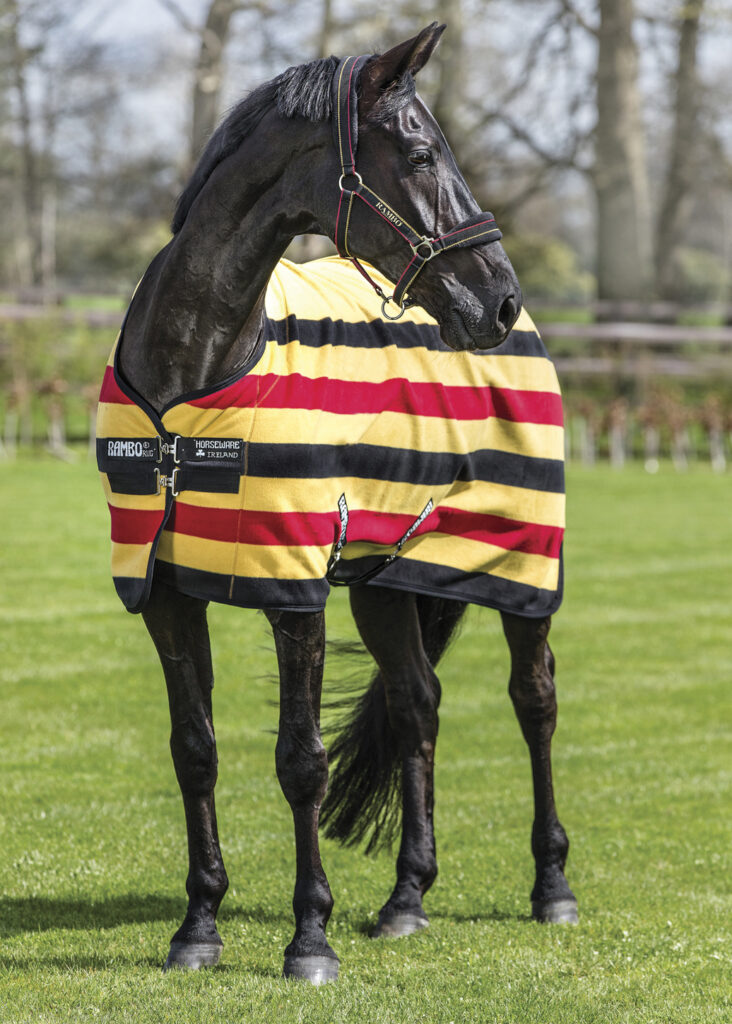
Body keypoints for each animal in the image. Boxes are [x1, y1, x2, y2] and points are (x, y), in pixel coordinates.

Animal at [110, 24, 577, 983]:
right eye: (423, 153)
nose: (498, 297)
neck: (194, 369)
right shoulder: (168, 594)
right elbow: (195, 752)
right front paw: (198, 927)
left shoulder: (297, 597)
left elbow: (301, 761)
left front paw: (309, 938)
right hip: (386, 582)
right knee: (417, 704)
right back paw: (406, 899)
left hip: (523, 568)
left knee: (535, 700)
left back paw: (551, 886)